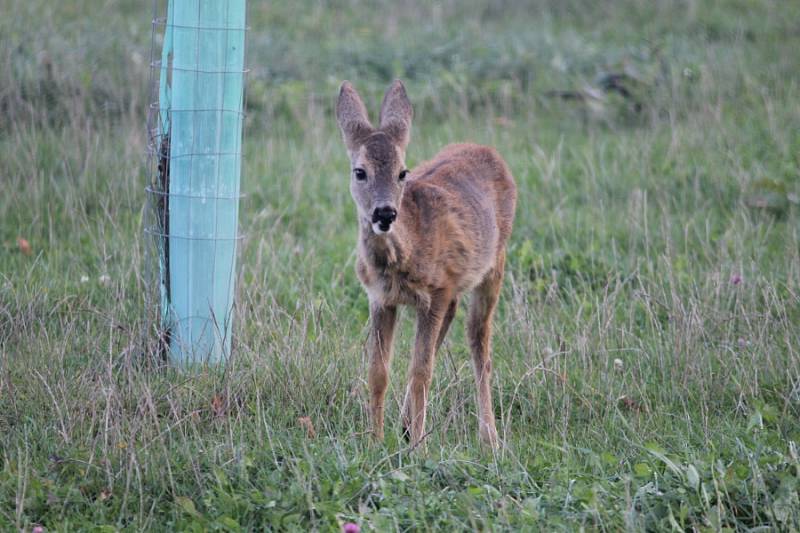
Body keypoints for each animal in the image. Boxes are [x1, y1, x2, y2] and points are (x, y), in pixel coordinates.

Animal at [334, 79, 516, 446]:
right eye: (360, 172)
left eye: (402, 172)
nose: (385, 213)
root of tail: (489, 151)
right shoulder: (381, 298)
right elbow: (378, 371)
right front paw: (375, 439)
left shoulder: (437, 290)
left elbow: (421, 371)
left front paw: (418, 445)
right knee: (451, 325)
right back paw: (406, 424)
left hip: (494, 264)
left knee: (479, 343)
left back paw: (489, 436)